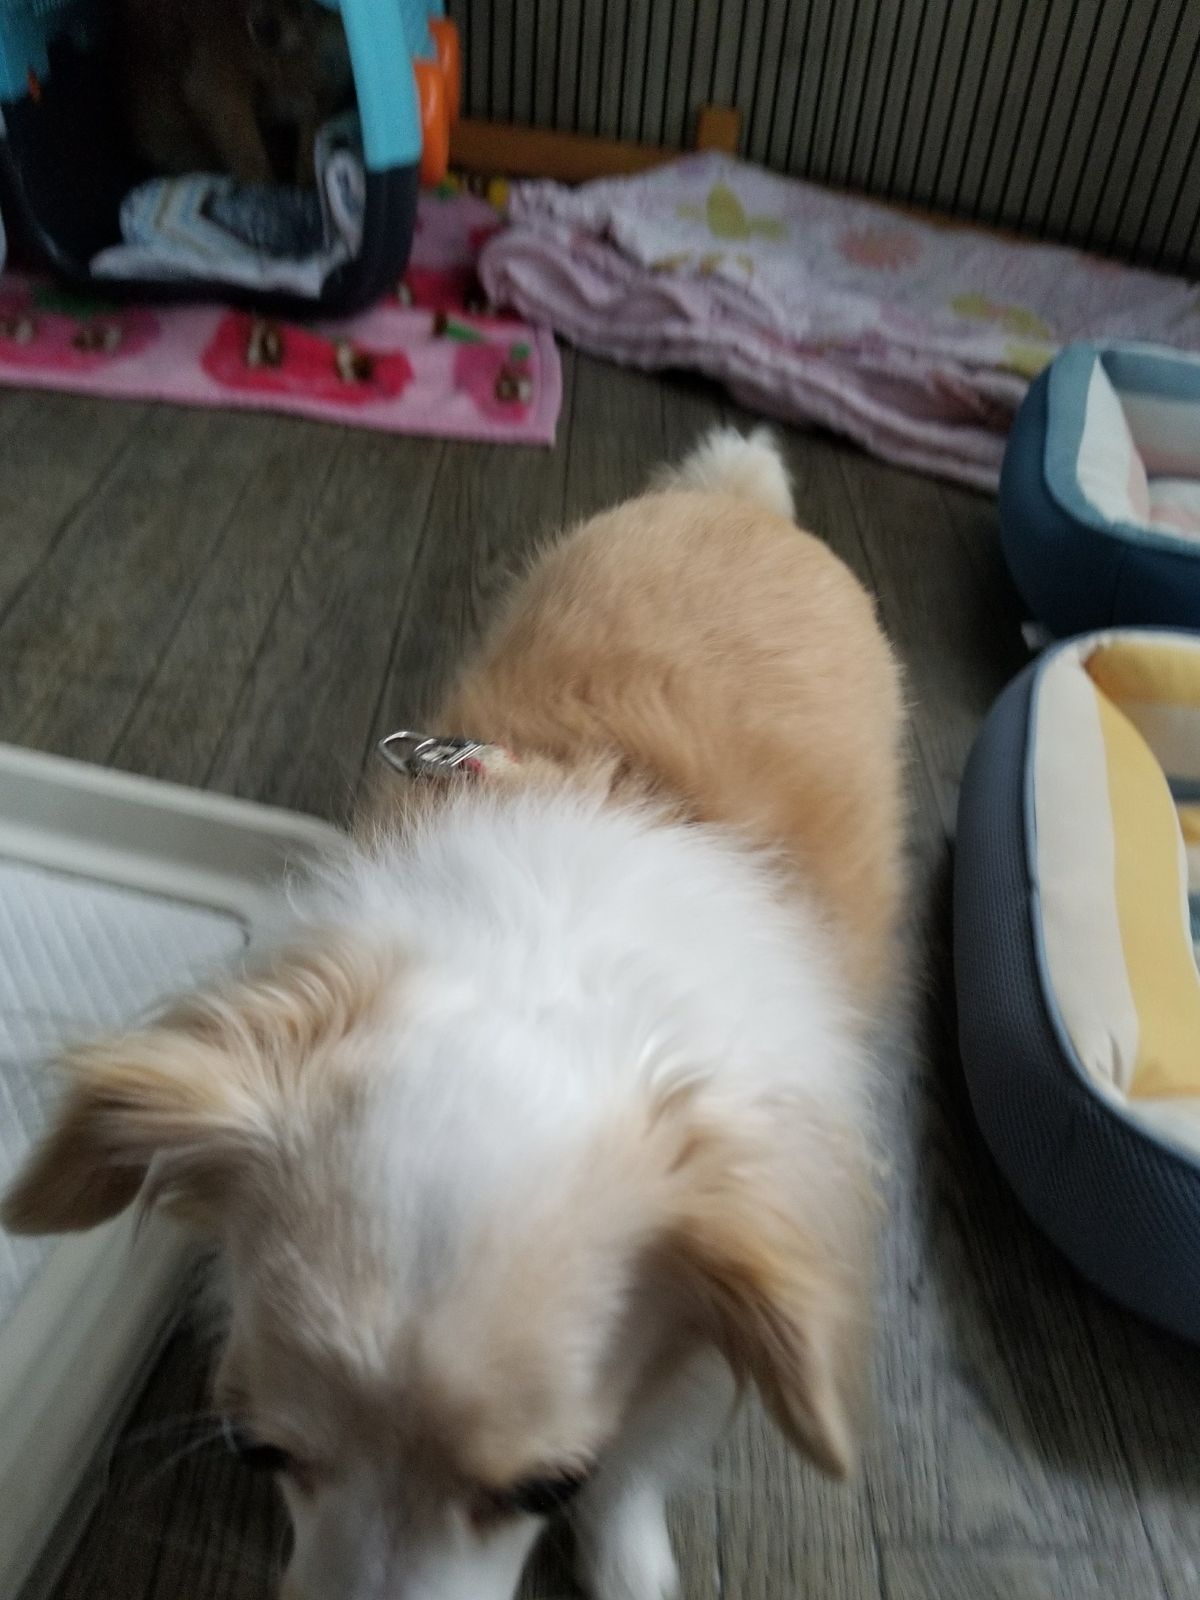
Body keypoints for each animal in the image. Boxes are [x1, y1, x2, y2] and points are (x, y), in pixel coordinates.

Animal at [4, 429, 905, 1600]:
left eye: (551, 1488)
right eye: (255, 1448)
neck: (541, 969)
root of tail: (736, 499)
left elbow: (640, 1468)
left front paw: (628, 1563)